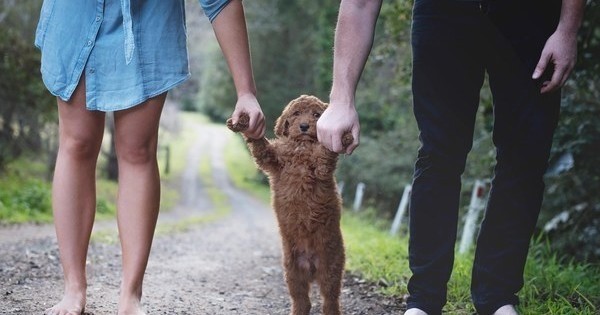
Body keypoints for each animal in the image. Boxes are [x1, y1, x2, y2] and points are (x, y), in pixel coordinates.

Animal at [229, 94, 352, 315]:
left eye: (316, 115)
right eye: (296, 114)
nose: (304, 126)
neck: (301, 146)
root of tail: (311, 265)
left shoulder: (321, 169)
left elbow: (325, 153)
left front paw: (342, 136)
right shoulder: (272, 158)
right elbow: (260, 145)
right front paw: (243, 123)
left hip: (331, 267)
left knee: (330, 299)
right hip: (292, 271)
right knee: (302, 300)